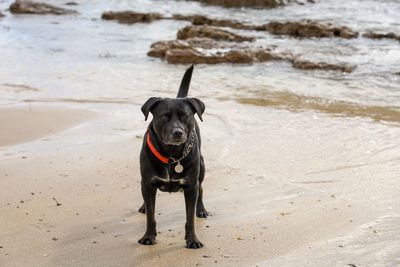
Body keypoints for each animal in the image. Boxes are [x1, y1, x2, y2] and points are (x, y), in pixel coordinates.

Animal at [137, 66, 206, 250]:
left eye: (185, 116)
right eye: (164, 116)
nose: (177, 132)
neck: (171, 156)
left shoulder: (190, 186)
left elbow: (189, 218)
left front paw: (193, 240)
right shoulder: (148, 183)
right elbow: (151, 215)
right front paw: (148, 236)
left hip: (202, 167)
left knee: (201, 188)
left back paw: (201, 209)